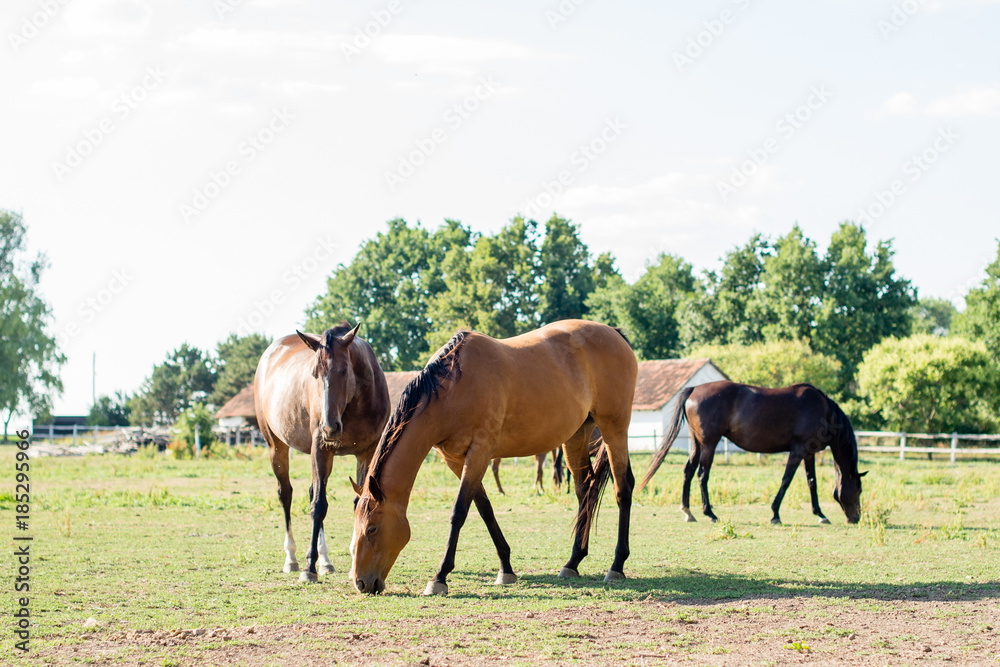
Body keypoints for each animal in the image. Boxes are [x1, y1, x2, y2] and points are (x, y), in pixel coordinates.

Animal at [252, 326, 388, 580]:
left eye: (344, 371)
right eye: (314, 373)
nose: (329, 427)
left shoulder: (367, 452)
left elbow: (360, 501)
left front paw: (354, 559)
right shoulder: (321, 448)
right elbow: (318, 506)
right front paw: (310, 568)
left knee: (311, 490)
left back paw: (325, 560)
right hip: (278, 447)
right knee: (286, 494)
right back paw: (292, 558)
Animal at [348, 320, 636, 596]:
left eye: (372, 529)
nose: (361, 583)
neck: (454, 386)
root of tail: (615, 333)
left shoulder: (480, 452)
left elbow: (459, 512)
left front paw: (440, 577)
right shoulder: (456, 460)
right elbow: (484, 508)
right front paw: (506, 568)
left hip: (614, 428)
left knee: (623, 488)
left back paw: (616, 566)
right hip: (577, 435)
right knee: (585, 490)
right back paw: (573, 561)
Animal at [640, 380, 868, 528]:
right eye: (858, 490)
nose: (855, 517)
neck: (824, 412)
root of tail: (694, 389)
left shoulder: (809, 453)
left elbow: (811, 482)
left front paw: (820, 514)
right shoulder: (798, 450)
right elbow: (786, 480)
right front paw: (775, 514)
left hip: (697, 443)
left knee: (688, 471)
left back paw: (688, 511)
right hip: (709, 444)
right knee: (702, 475)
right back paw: (710, 513)